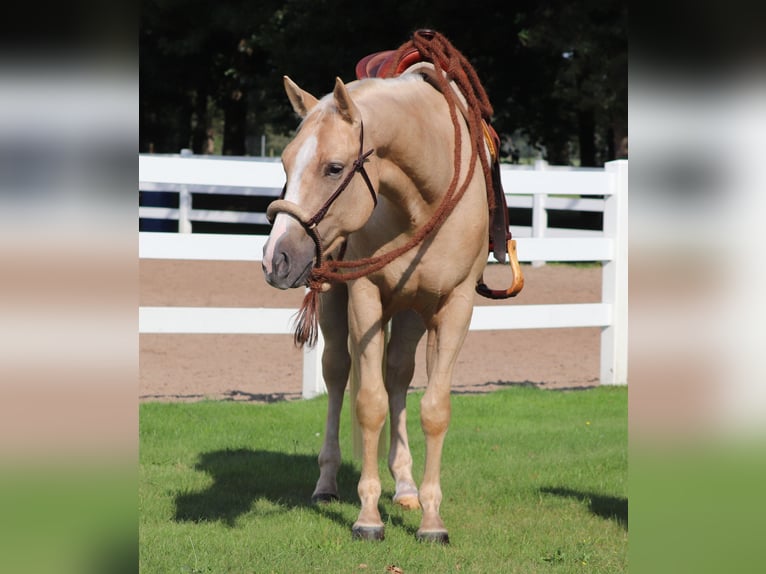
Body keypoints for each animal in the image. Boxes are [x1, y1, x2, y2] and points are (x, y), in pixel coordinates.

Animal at [262, 31, 516, 544]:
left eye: (334, 167)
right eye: (284, 162)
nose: (276, 258)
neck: (426, 193)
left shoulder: (455, 305)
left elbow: (433, 408)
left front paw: (432, 520)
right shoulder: (364, 295)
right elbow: (369, 403)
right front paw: (368, 516)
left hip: (413, 310)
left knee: (399, 374)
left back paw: (405, 486)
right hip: (340, 305)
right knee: (338, 373)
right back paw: (328, 483)